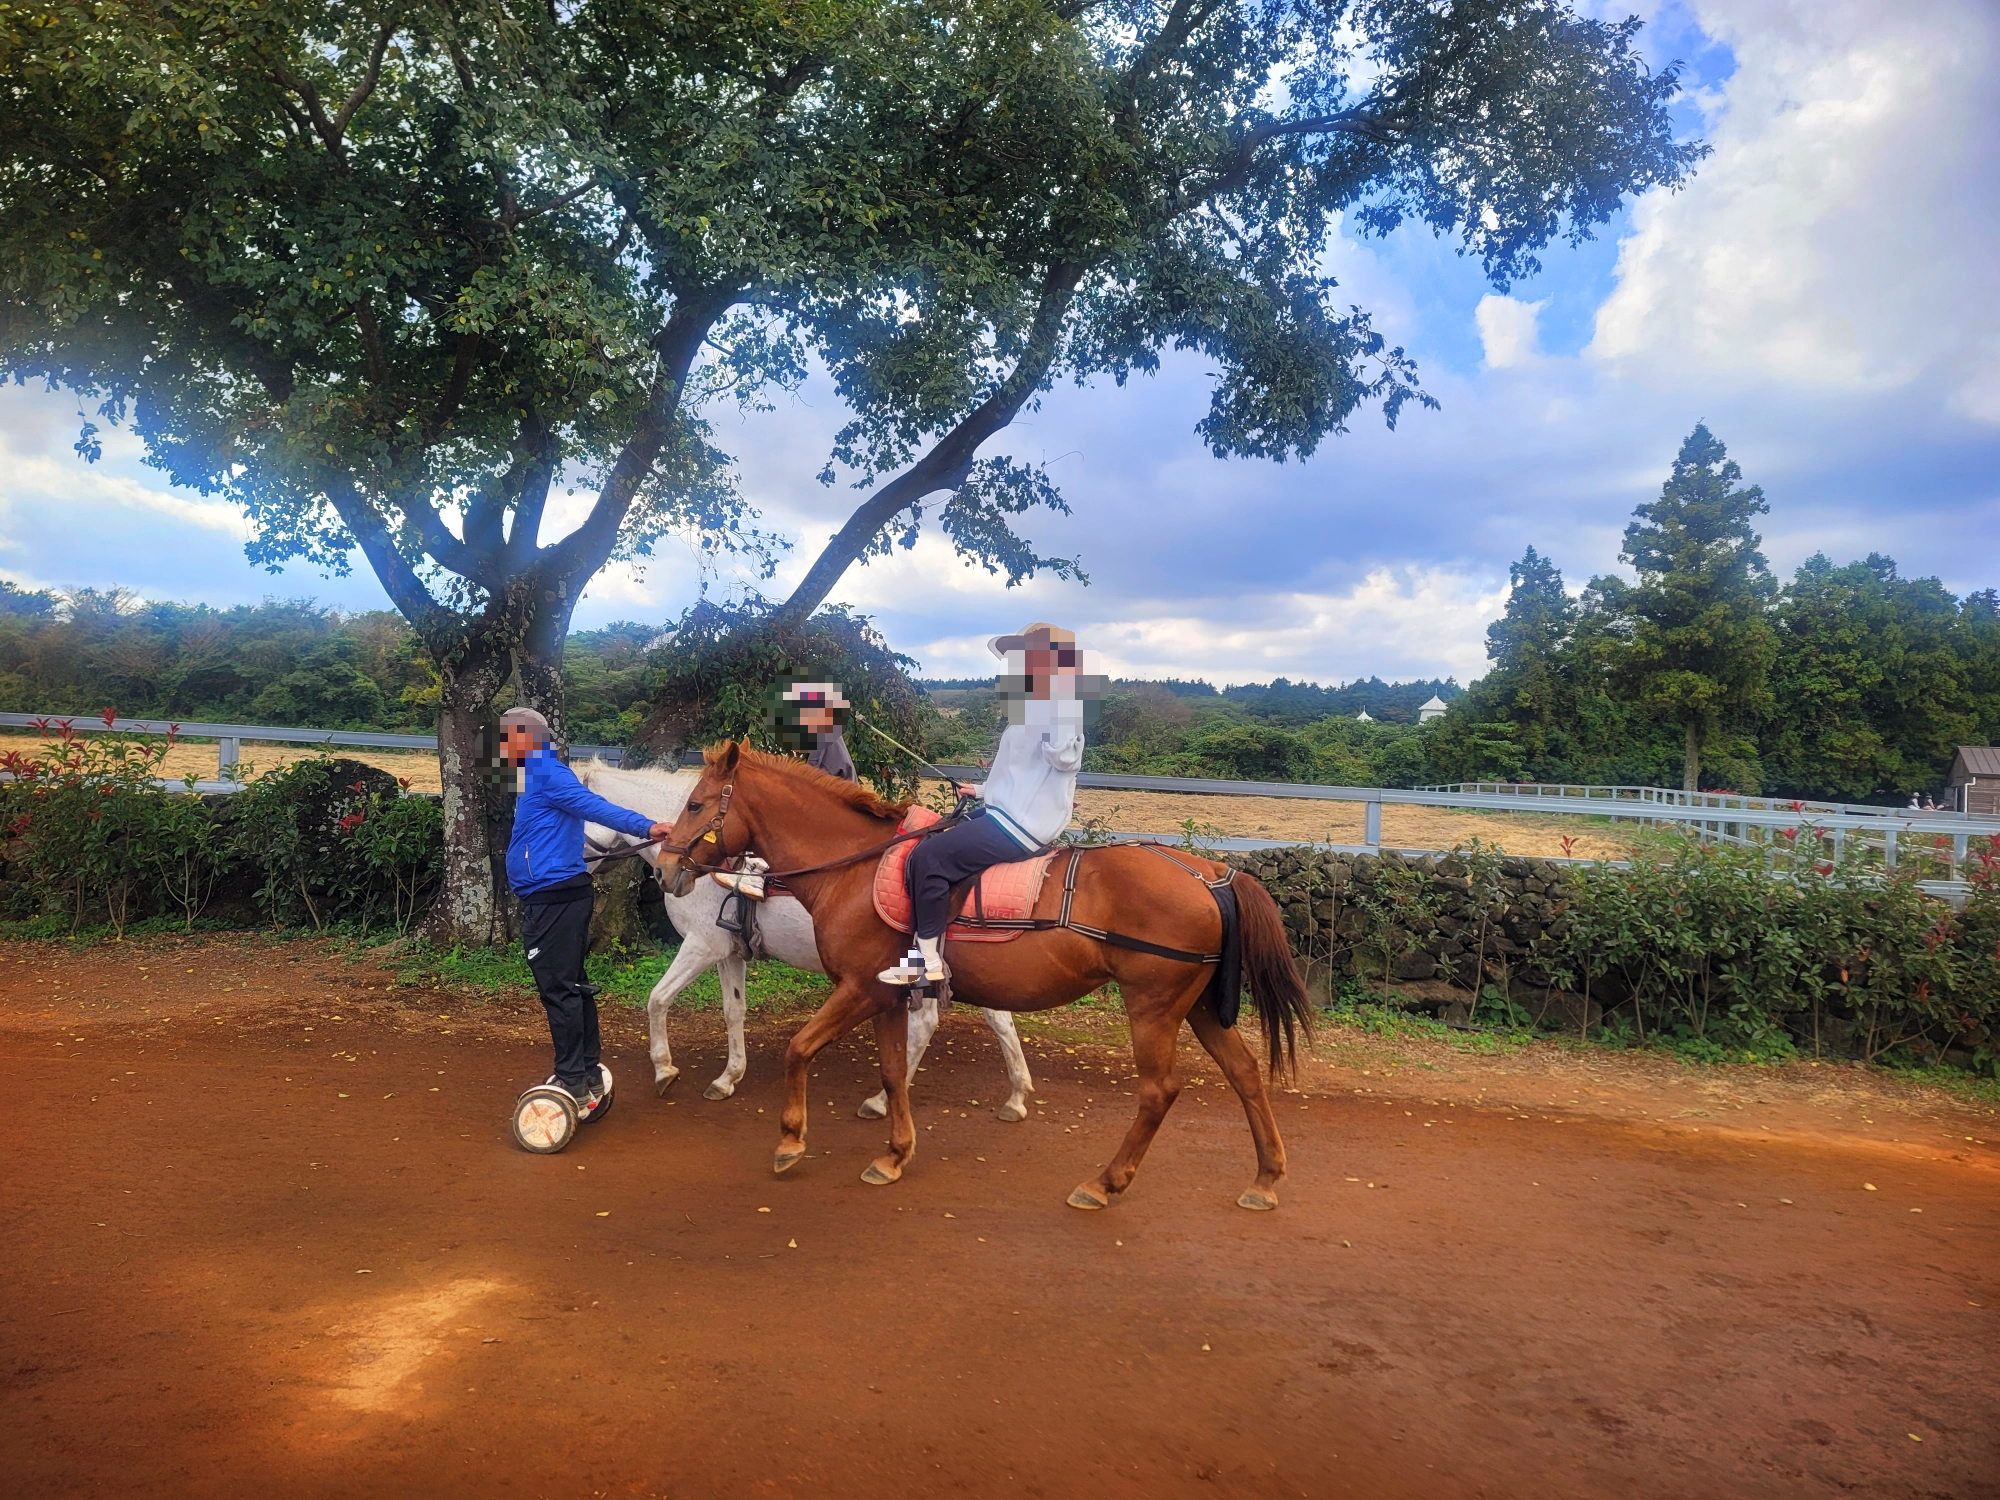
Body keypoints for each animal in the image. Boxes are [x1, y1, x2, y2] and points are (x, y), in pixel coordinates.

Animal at [576, 768, 1032, 1120]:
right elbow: (733, 1011)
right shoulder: (728, 952)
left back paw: (885, 1099)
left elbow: (657, 999)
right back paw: (1016, 1095)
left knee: (929, 1024)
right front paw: (729, 1077)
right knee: (997, 1018)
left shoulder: (701, 946)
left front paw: (664, 1070)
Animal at [660, 748, 1312, 1216]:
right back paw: (1266, 1178)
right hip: (1197, 1006)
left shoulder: (859, 988)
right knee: (1245, 1073)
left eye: (695, 804)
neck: (857, 866)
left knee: (1159, 1092)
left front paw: (791, 1141)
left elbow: (798, 1049)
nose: (666, 868)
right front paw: (895, 1155)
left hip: (1153, 1007)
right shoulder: (886, 996)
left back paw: (1104, 1183)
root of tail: (1211, 872)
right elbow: (892, 1071)